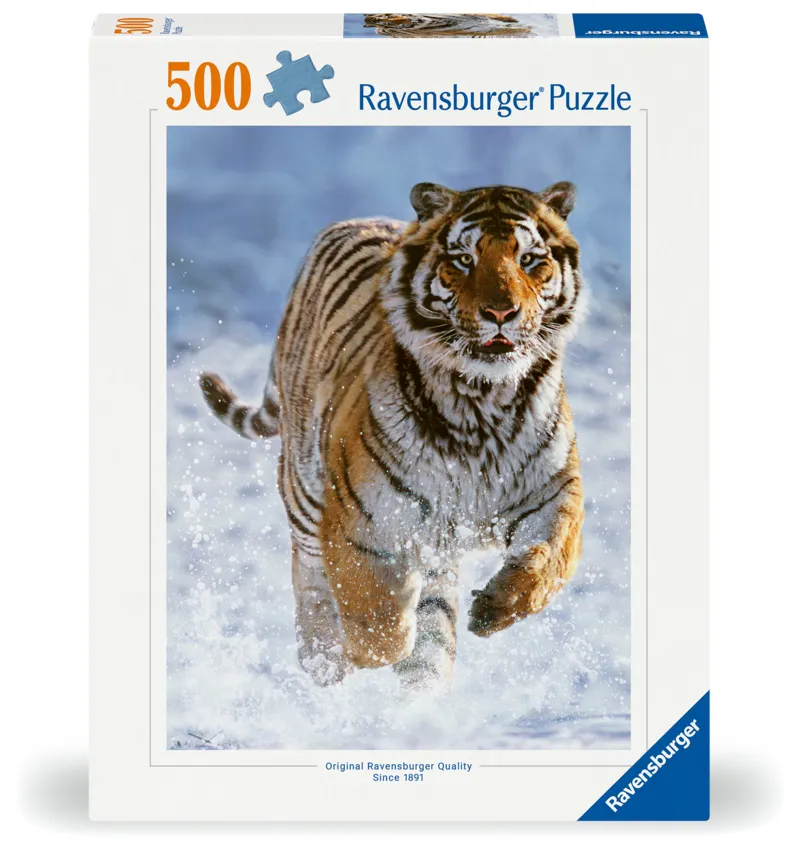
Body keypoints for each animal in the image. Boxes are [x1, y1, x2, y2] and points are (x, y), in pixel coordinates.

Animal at [200, 182, 586, 689]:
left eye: (529, 260)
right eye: (464, 260)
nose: (501, 312)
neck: (482, 402)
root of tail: (354, 221)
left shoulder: (554, 491)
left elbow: (551, 560)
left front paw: (494, 609)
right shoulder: (359, 521)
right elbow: (379, 626)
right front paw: (361, 646)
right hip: (304, 491)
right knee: (310, 579)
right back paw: (323, 661)